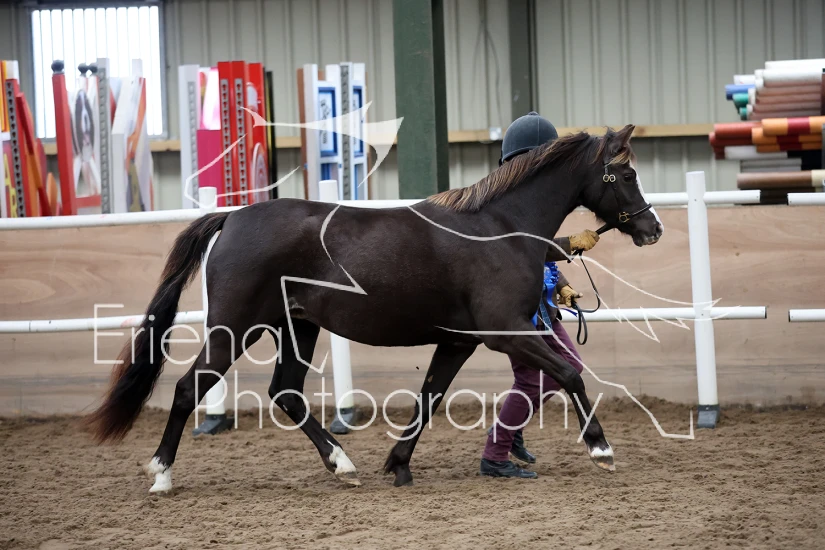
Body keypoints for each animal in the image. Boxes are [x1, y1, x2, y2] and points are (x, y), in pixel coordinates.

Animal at [86, 124, 663, 492]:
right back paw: (161, 475)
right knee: (190, 388)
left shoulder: (458, 341)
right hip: (234, 327)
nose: (652, 228)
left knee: (286, 392)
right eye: (626, 176)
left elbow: (429, 397)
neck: (498, 228)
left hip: (296, 328)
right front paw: (601, 450)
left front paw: (398, 464)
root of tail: (233, 217)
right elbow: (570, 373)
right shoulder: (507, 331)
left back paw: (342, 464)